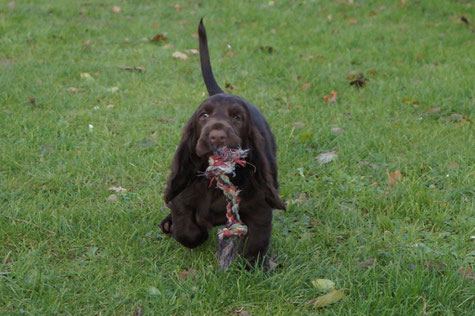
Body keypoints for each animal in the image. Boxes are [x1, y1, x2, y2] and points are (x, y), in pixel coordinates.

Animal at [160, 19, 286, 266]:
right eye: (204, 116)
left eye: (237, 117)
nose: (216, 136)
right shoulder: (181, 201)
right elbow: (187, 231)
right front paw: (198, 231)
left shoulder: (260, 209)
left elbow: (256, 242)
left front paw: (252, 265)